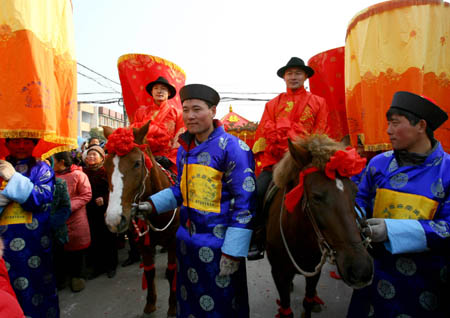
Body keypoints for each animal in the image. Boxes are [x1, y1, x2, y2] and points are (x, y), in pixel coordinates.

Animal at [103, 121, 178, 316]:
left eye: (137, 163)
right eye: (105, 165)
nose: (113, 219)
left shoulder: (174, 240)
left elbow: (172, 270)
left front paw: (173, 306)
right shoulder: (144, 243)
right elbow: (149, 272)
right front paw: (150, 303)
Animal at [266, 135, 374, 318]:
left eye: (355, 191)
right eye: (316, 197)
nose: (361, 269)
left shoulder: (314, 270)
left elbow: (308, 301)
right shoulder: (278, 273)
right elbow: (286, 308)